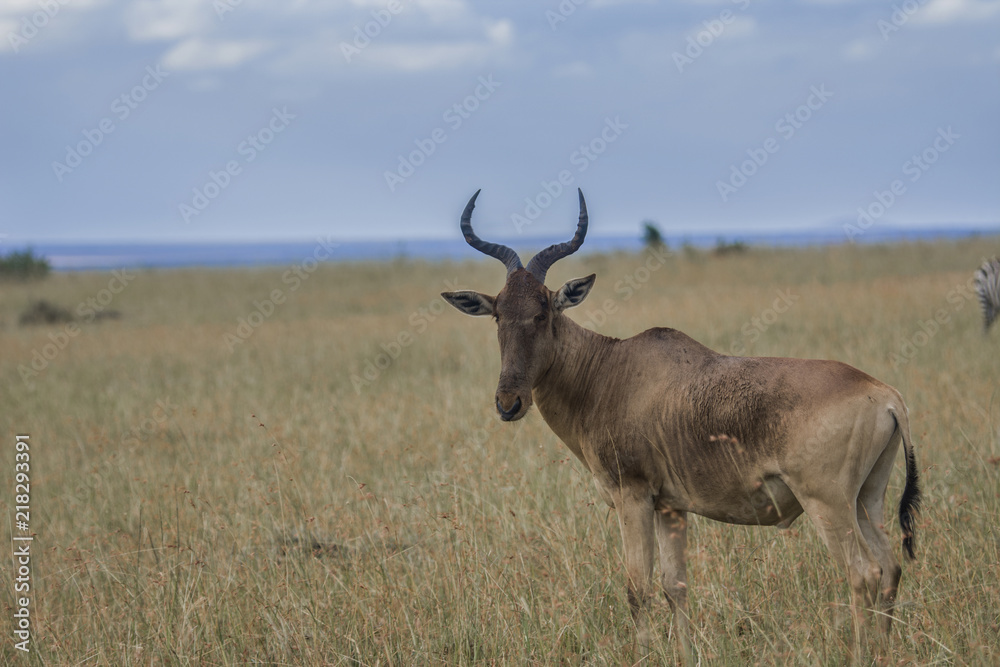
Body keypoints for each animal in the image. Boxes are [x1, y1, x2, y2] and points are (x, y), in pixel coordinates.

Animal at [446, 190, 920, 664]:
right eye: (498, 314)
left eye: (544, 312)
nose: (509, 402)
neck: (609, 370)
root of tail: (885, 394)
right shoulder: (671, 507)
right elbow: (675, 587)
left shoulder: (633, 496)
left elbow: (637, 588)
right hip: (867, 499)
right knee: (891, 566)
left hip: (827, 502)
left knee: (863, 572)